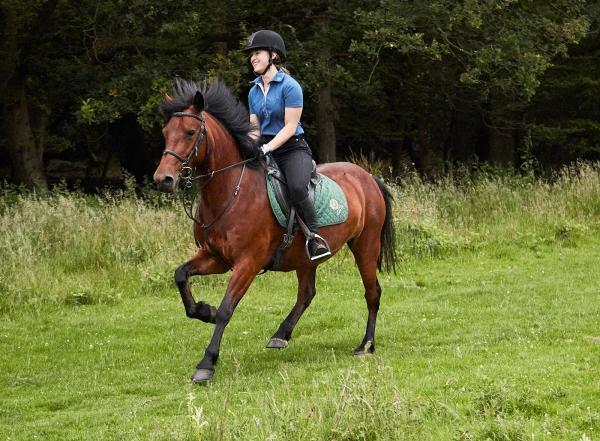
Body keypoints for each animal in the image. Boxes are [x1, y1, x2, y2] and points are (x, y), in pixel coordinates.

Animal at [152, 78, 396, 382]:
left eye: (190, 132)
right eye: (165, 133)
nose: (163, 179)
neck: (231, 192)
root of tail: (368, 177)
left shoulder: (248, 262)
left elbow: (226, 309)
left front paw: (207, 363)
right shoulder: (215, 258)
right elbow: (180, 275)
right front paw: (204, 311)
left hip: (366, 244)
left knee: (372, 292)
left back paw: (366, 344)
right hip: (306, 257)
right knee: (306, 294)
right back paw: (282, 334)